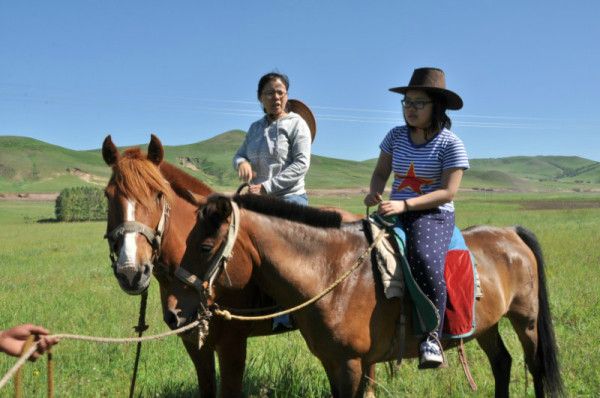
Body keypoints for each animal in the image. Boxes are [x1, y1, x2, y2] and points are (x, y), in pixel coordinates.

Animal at [166, 195, 564, 398]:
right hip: (486, 326)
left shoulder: (351, 363)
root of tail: (511, 233)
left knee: (535, 366)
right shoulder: (336, 362)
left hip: (526, 321)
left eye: (204, 247)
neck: (330, 272)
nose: (173, 314)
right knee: (503, 364)